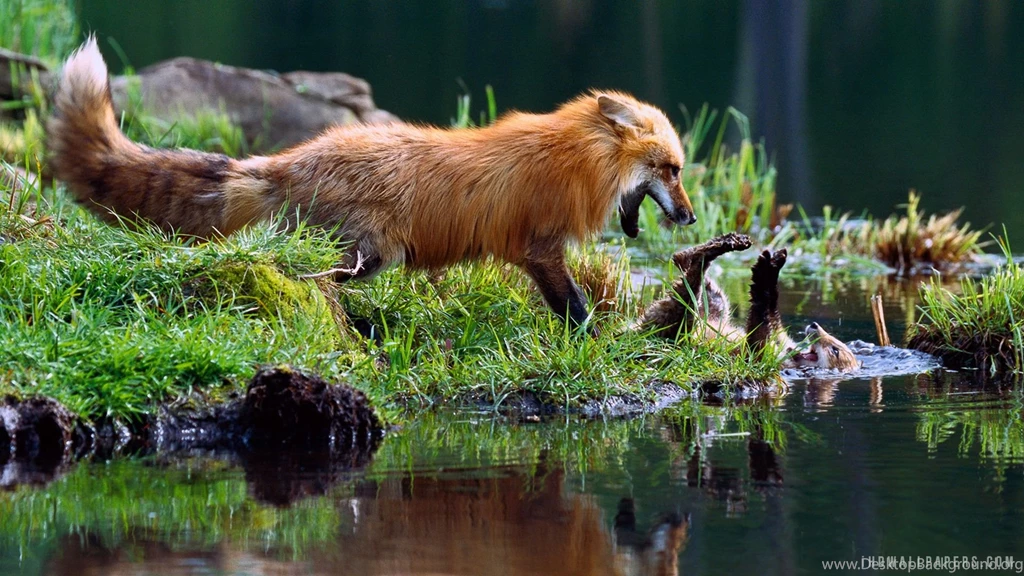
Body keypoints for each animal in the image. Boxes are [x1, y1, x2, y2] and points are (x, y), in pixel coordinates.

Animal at [47, 38, 695, 331]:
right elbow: (577, 309)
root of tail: (289, 160)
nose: (690, 218)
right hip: (367, 255)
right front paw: (598, 342)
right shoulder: (540, 249)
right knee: (304, 275)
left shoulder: (537, 253)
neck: (577, 158)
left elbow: (570, 308)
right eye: (672, 169)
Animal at [637, 233, 859, 372]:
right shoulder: (780, 338)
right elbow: (773, 319)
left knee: (686, 295)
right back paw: (700, 254)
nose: (814, 325)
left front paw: (764, 275)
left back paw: (704, 256)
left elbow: (757, 331)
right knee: (708, 295)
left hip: (675, 326)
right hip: (709, 310)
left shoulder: (760, 357)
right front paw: (771, 268)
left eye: (835, 350)